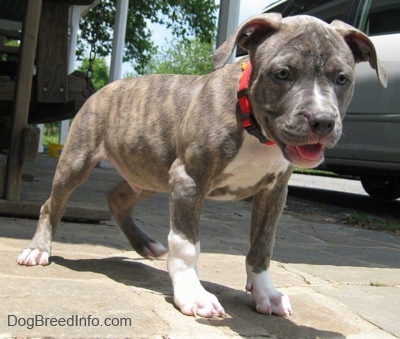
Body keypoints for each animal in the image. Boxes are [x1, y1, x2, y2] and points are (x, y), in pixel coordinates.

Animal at [17, 14, 386, 318]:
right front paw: (193, 295)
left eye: (342, 79)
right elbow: (186, 246)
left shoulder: (273, 193)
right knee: (52, 204)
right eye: (282, 74)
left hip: (151, 172)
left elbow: (262, 245)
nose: (321, 121)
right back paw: (38, 249)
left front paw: (265, 293)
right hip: (79, 162)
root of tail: (104, 88)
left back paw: (145, 244)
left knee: (117, 198)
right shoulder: (189, 180)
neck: (253, 124)